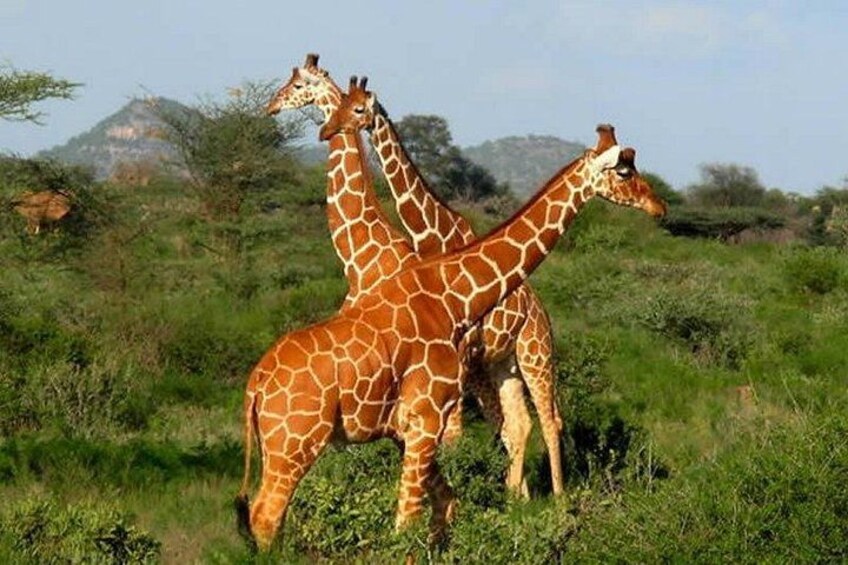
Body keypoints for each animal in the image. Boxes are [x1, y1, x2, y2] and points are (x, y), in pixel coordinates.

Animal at [236, 109, 667, 549]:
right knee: (266, 516)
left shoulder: (410, 427)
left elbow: (443, 505)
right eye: (625, 171)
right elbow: (408, 520)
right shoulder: (426, 419)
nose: (659, 206)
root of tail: (256, 385)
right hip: (295, 444)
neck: (452, 297)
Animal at [268, 55, 562, 497]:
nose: (270, 105)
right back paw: (518, 498)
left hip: (532, 353)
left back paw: (557, 500)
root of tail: (541, 310)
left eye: (300, 83)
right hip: (499, 364)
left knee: (547, 419)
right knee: (516, 423)